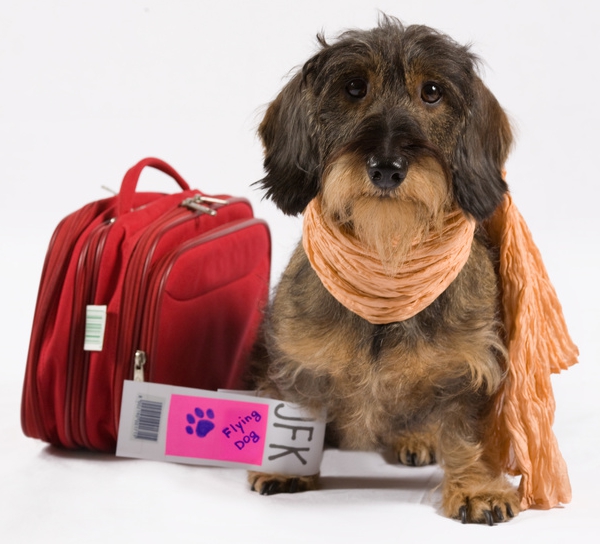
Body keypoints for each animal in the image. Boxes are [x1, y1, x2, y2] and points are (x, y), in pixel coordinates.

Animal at [248, 17, 520, 524]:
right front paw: (285, 462)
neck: (388, 262)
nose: (387, 168)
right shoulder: (296, 359)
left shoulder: (470, 367)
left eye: (432, 91)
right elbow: (298, 407)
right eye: (354, 88)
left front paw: (476, 488)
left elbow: (466, 429)